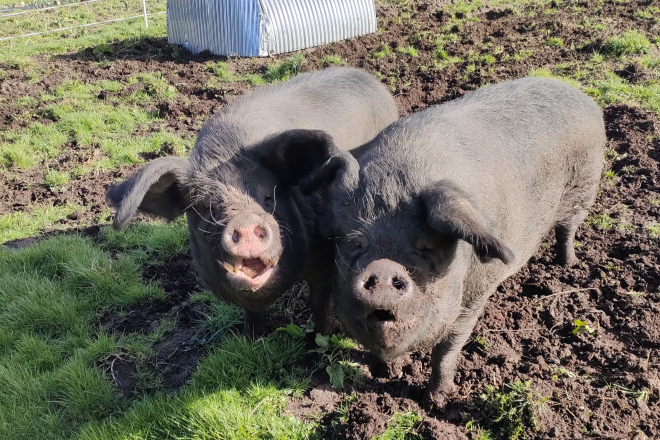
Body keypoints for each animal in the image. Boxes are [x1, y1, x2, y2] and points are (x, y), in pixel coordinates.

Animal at [106, 67, 399, 335]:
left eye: (268, 195)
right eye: (206, 207)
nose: (244, 221)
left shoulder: (324, 258)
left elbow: (318, 302)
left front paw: (323, 336)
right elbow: (251, 310)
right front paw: (251, 337)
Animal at [264, 77, 606, 403]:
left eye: (427, 246)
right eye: (354, 242)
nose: (384, 271)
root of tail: (579, 94)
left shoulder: (476, 295)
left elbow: (447, 348)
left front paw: (436, 400)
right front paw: (383, 371)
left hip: (586, 185)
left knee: (567, 228)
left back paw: (568, 264)